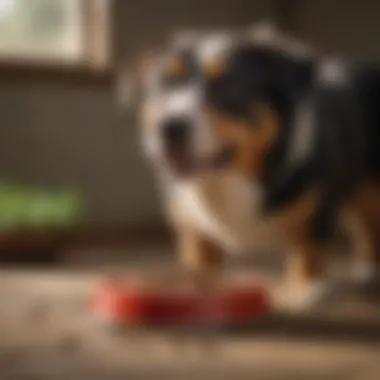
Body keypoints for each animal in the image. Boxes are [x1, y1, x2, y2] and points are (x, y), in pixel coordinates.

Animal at [120, 24, 380, 308]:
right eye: (166, 83)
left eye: (228, 85)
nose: (169, 127)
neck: (228, 179)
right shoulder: (194, 230)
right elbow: (200, 261)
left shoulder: (318, 211)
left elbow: (308, 252)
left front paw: (300, 292)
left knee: (368, 228)